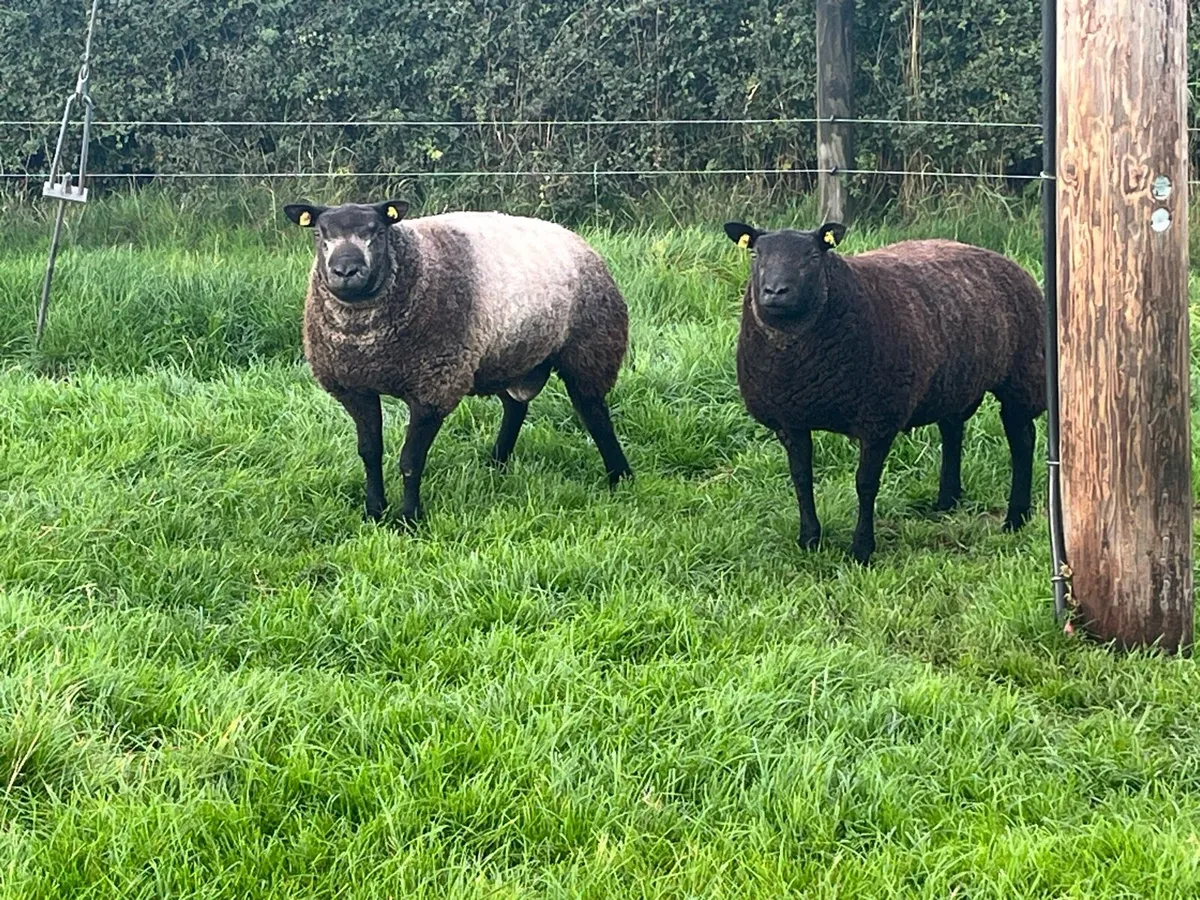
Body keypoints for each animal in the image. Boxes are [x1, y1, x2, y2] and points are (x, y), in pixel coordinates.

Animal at [283, 199, 633, 524]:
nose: (345, 271)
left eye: (378, 232)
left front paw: (409, 518)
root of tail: (580, 243)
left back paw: (620, 477)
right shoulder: (354, 387)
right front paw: (374, 512)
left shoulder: (435, 385)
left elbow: (410, 460)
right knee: (515, 407)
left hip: (590, 349)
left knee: (594, 414)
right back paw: (497, 463)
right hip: (506, 355)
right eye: (319, 233)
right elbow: (370, 453)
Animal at [723, 219, 1046, 564]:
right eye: (755, 254)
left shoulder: (877, 419)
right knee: (952, 429)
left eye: (813, 256)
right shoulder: (789, 419)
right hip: (953, 380)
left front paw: (861, 550)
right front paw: (809, 539)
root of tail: (1000, 257)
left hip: (1022, 375)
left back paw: (1015, 517)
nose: (775, 292)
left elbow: (865, 484)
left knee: (1022, 440)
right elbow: (801, 478)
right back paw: (947, 500)